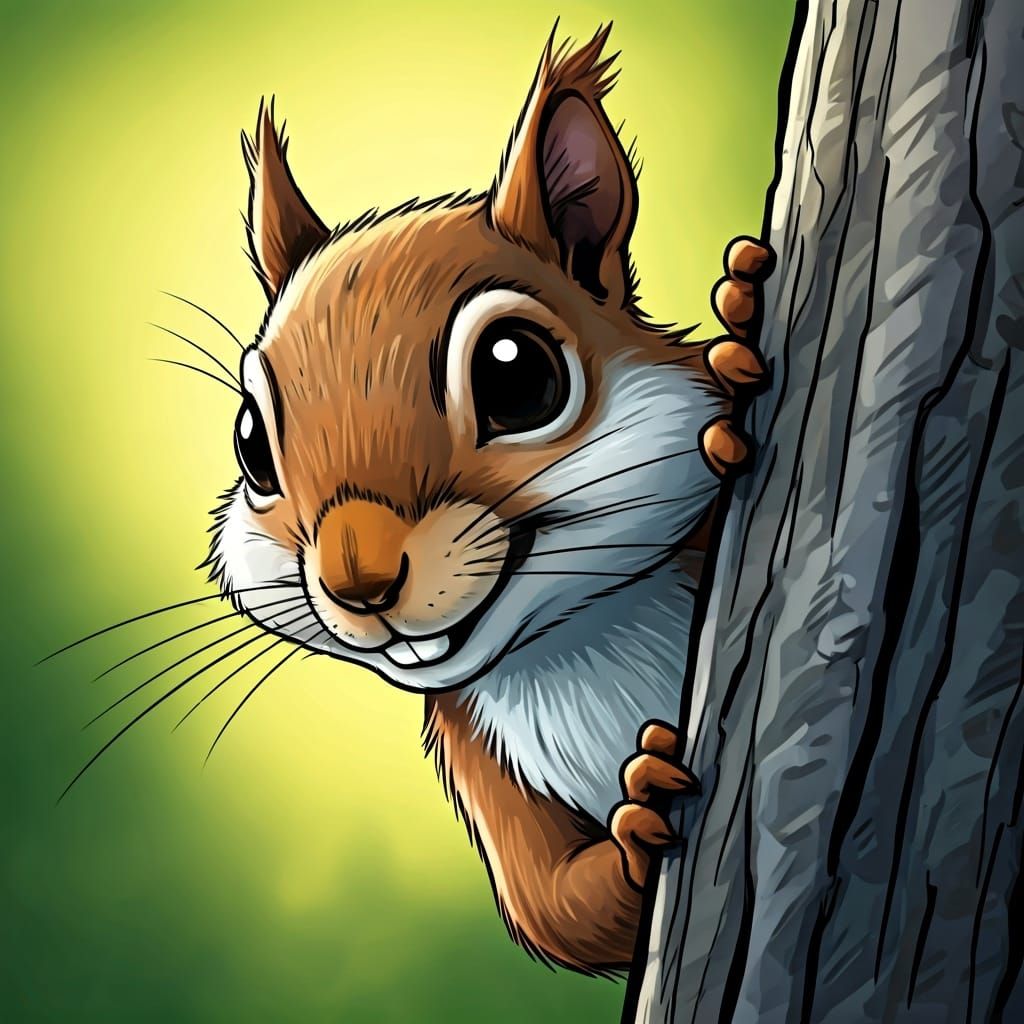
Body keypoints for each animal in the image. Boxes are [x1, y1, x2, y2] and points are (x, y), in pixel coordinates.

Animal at [208, 25, 772, 974]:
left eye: (517, 375)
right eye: (250, 443)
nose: (358, 581)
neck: (580, 641)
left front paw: (735, 343)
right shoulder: (485, 762)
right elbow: (554, 910)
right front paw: (641, 818)